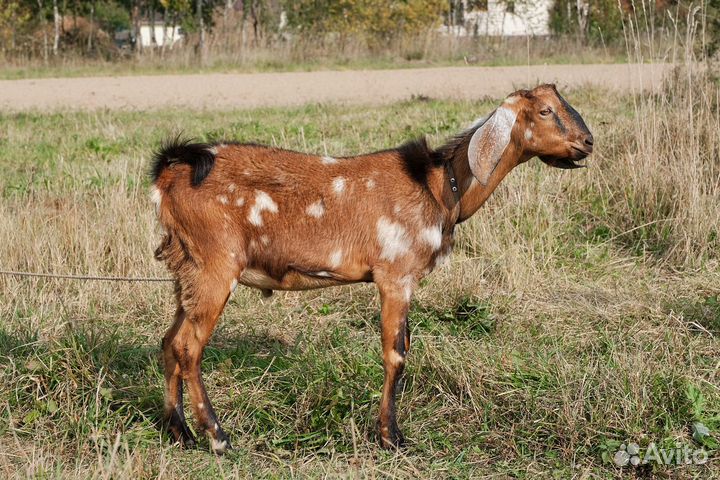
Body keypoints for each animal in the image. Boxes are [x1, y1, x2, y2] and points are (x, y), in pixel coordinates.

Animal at [150, 84, 594, 453]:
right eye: (545, 110)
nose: (587, 142)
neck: (438, 184)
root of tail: (170, 172)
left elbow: (406, 347)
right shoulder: (396, 276)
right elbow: (395, 354)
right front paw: (390, 436)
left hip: (186, 270)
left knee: (169, 341)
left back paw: (179, 431)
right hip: (215, 266)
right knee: (189, 348)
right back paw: (218, 436)